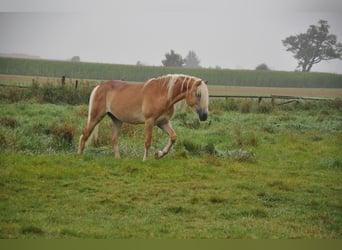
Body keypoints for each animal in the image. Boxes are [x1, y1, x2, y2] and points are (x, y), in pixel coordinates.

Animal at [78, 73, 208, 161]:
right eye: (198, 94)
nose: (204, 116)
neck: (163, 94)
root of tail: (99, 87)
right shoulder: (149, 121)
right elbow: (147, 141)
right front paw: (145, 160)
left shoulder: (163, 122)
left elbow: (173, 137)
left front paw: (159, 154)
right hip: (96, 117)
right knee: (85, 134)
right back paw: (79, 155)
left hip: (117, 120)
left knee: (114, 139)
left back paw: (118, 159)